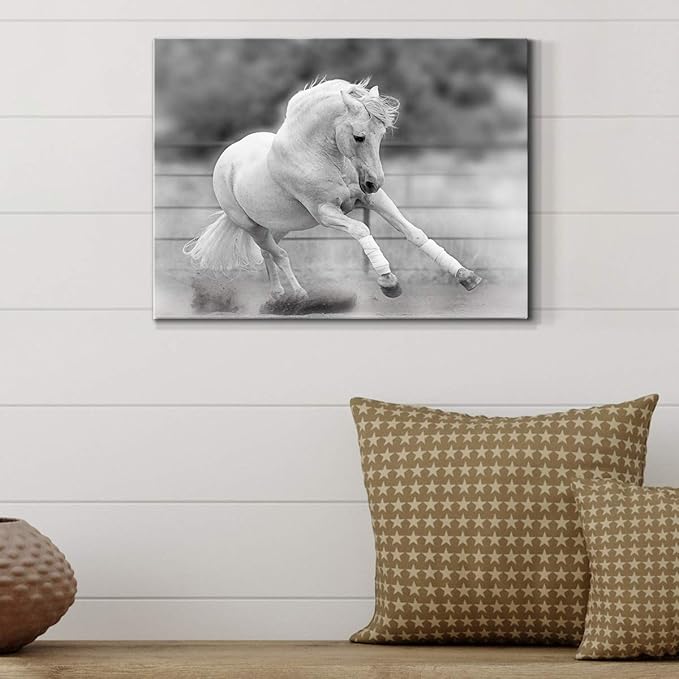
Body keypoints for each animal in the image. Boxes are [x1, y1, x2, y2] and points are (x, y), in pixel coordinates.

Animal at [183, 78, 482, 304]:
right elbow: (362, 230)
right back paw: (298, 295)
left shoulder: (372, 200)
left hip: (278, 227)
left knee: (269, 254)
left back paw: (278, 295)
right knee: (279, 254)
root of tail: (227, 158)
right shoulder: (325, 213)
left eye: (382, 135)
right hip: (252, 227)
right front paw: (388, 282)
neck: (317, 155)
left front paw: (465, 275)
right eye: (359, 136)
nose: (374, 182)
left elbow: (414, 233)